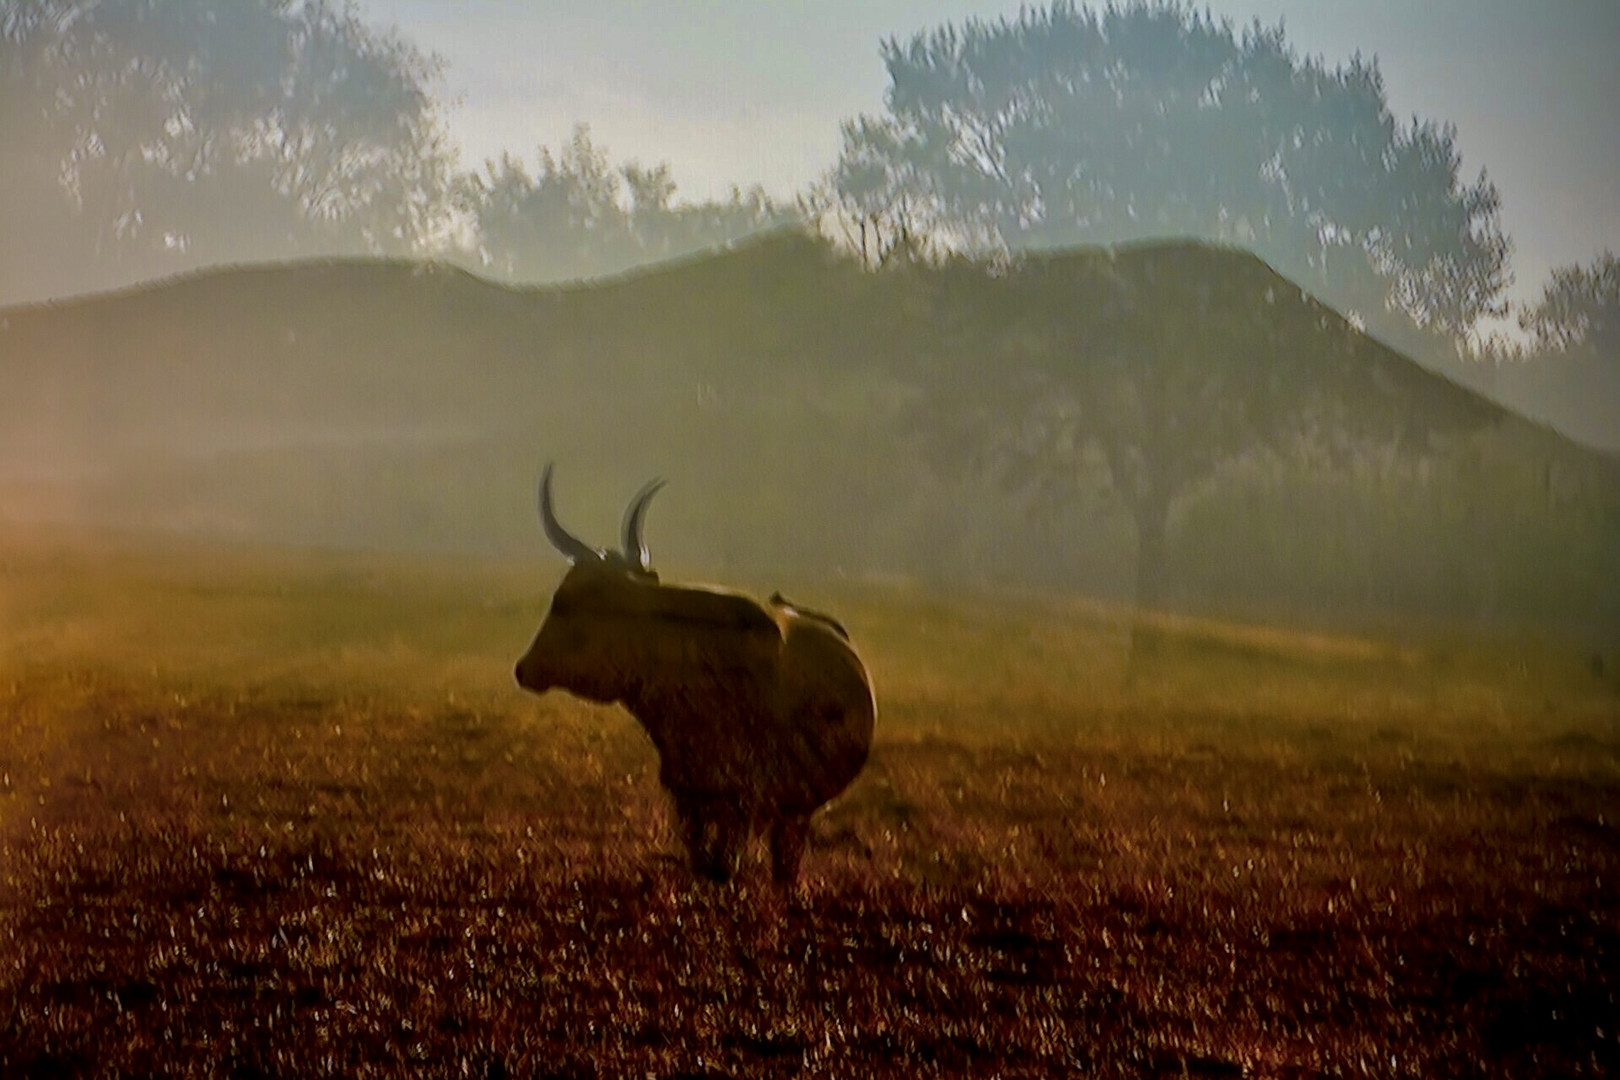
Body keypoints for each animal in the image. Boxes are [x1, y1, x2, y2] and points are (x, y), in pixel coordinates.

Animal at [515, 466, 874, 887]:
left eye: (562, 601)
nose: (523, 668)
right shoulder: (686, 792)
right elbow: (702, 859)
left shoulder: (741, 797)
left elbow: (723, 865)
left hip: (794, 813)